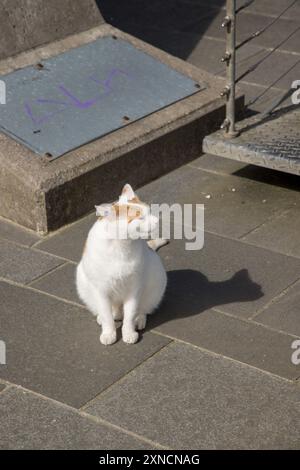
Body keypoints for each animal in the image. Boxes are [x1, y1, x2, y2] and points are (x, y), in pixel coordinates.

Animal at [76, 184, 168, 346]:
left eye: (149, 211)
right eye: (140, 217)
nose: (157, 220)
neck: (121, 245)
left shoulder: (134, 289)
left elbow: (130, 316)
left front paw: (129, 333)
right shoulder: (101, 291)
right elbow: (107, 317)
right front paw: (109, 333)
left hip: (157, 279)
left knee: (143, 309)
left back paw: (139, 319)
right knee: (109, 313)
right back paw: (105, 317)